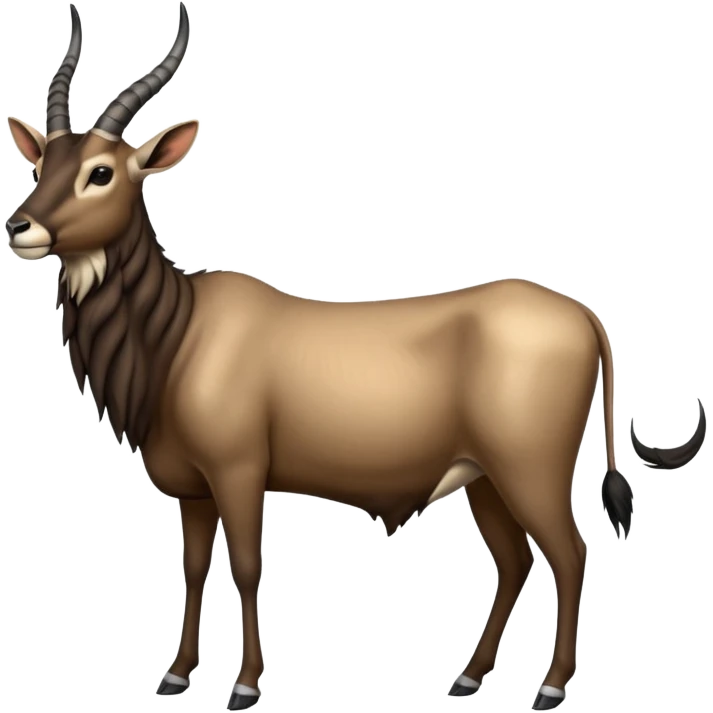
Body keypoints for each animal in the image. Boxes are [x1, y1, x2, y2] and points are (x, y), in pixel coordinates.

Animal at [5, 2, 708, 711]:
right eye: (42, 167)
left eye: (101, 171)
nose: (20, 227)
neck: (178, 332)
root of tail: (586, 316)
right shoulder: (193, 490)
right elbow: (196, 566)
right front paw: (175, 675)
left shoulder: (239, 473)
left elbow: (247, 566)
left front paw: (245, 685)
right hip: (483, 479)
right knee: (515, 562)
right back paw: (468, 677)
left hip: (530, 471)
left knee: (569, 553)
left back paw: (552, 686)